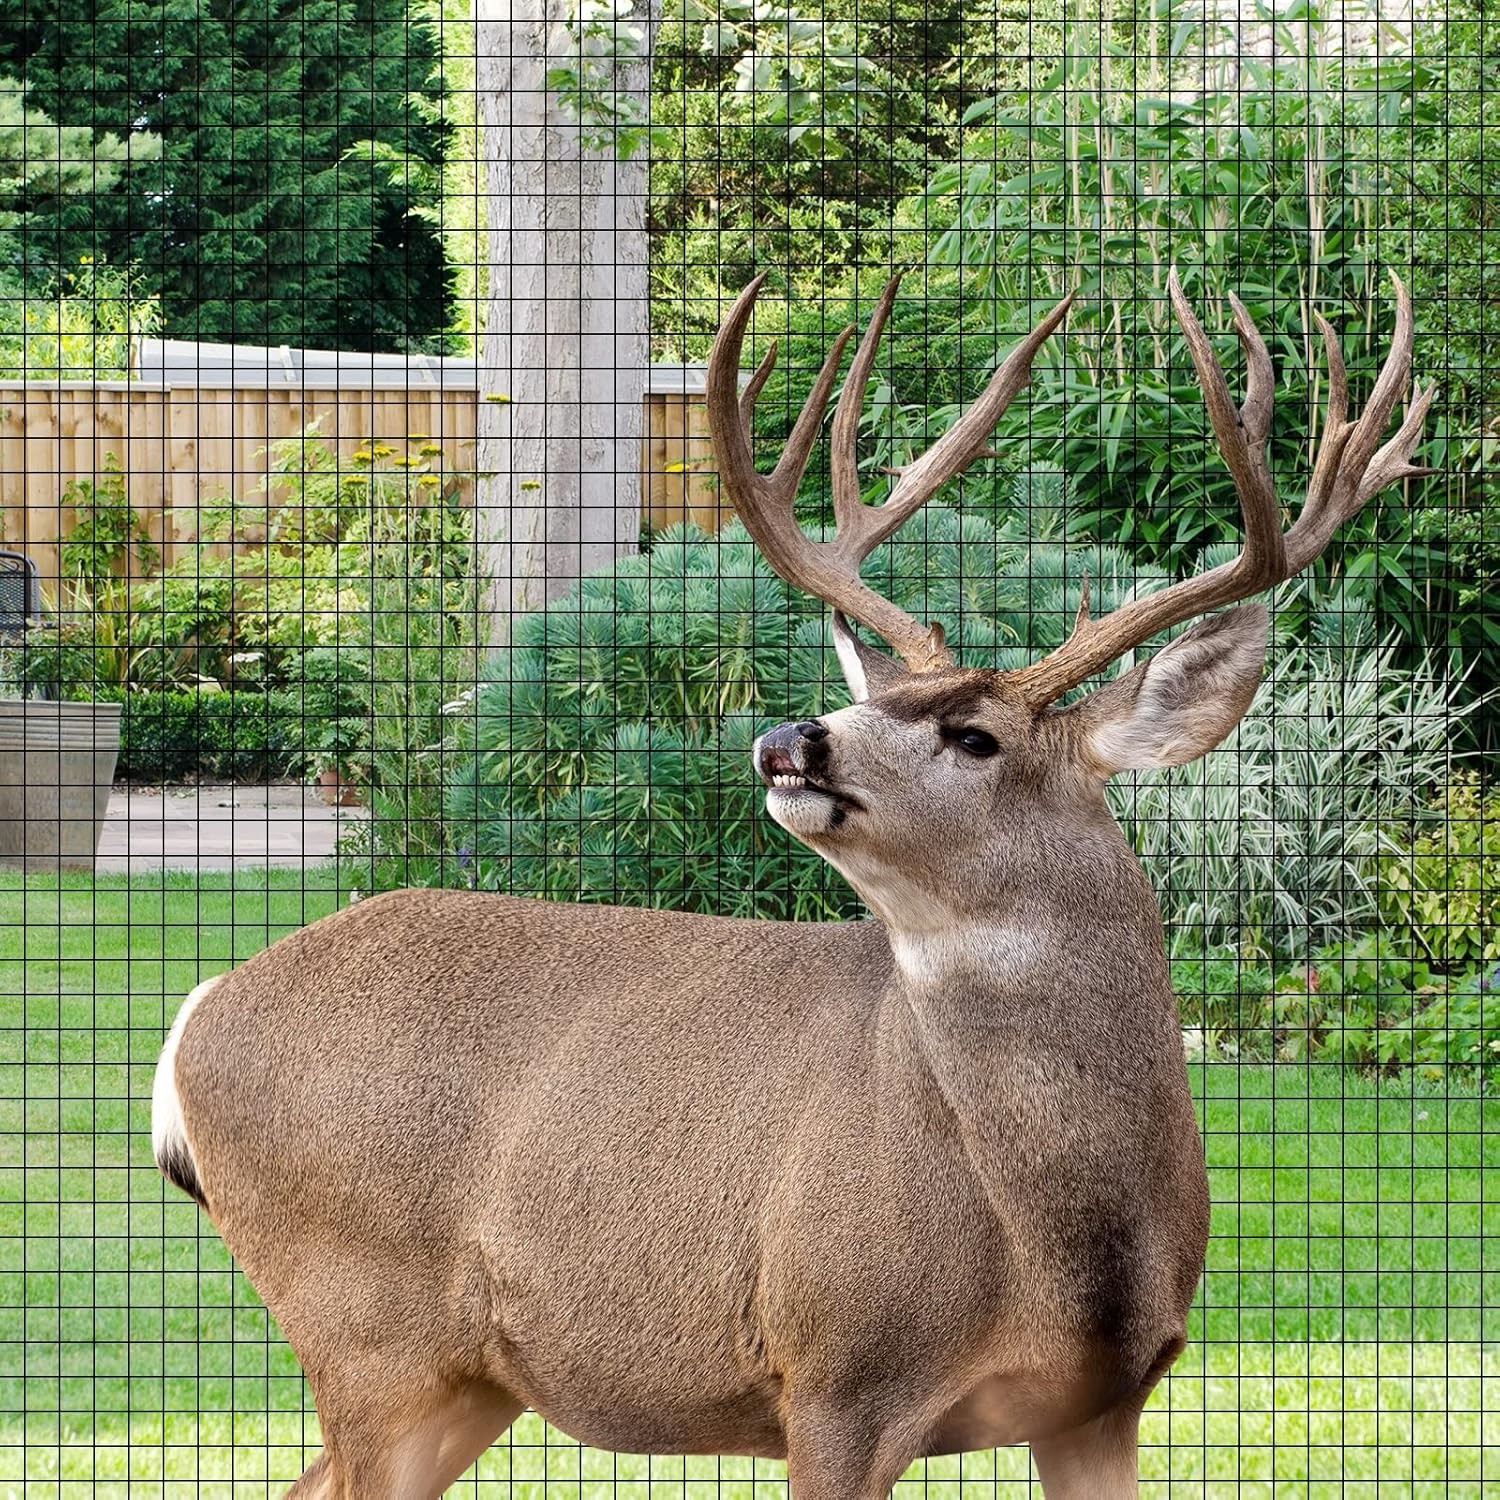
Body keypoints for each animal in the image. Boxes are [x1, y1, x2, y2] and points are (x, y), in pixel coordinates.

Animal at [152, 268, 1432, 1499]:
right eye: (879, 700)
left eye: (974, 735)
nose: (785, 738)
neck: (1060, 1233)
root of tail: (198, 1011)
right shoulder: (836, 1373)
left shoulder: (1105, 1400)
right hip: (364, 1324)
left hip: (467, 1374)